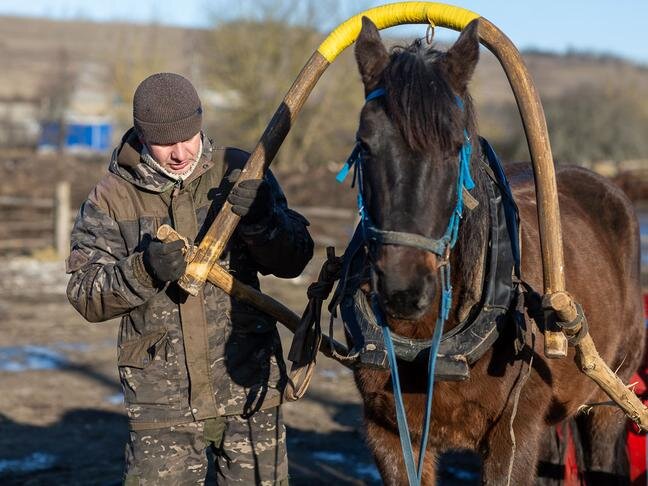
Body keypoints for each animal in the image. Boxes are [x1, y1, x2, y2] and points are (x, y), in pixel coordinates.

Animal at [346, 17, 644, 484]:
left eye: (455, 147)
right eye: (364, 144)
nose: (403, 289)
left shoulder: (512, 435)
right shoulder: (388, 433)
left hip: (608, 399)